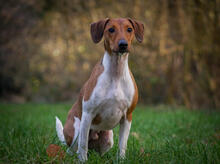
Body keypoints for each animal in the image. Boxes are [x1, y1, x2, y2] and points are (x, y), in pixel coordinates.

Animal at [55, 18, 144, 161]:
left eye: (129, 29)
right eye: (111, 29)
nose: (123, 44)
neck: (116, 73)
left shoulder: (127, 117)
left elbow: (122, 144)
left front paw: (121, 160)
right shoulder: (87, 115)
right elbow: (83, 145)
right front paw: (82, 161)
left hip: (108, 138)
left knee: (98, 152)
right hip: (76, 131)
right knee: (74, 149)